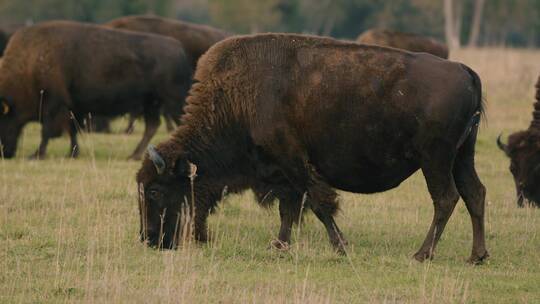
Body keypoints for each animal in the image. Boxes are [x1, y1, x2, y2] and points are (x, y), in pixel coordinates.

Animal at [0, 20, 192, 159]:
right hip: (151, 102)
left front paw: (36, 155)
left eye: (1, 120)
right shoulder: (72, 108)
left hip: (171, 101)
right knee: (152, 126)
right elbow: (72, 130)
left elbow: (46, 132)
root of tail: (180, 49)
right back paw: (134, 155)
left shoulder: (53, 104)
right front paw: (72, 153)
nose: (5, 154)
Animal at [136, 33, 490, 264]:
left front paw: (340, 246)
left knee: (445, 198)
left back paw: (422, 254)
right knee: (475, 193)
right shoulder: (283, 173)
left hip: (436, 159)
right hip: (462, 156)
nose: (149, 238)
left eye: (154, 190)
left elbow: (319, 204)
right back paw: (477, 256)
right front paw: (278, 245)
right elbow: (289, 209)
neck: (237, 96)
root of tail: (465, 71)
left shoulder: (295, 162)